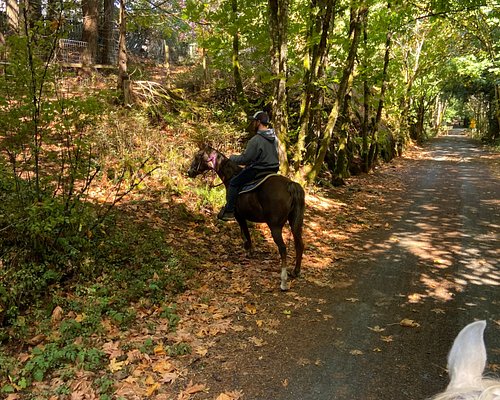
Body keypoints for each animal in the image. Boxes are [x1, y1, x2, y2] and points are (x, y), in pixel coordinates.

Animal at [188, 145, 304, 290]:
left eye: (197, 156)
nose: (189, 172)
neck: (231, 176)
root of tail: (291, 185)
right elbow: (246, 234)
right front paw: (250, 251)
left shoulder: (239, 216)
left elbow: (245, 234)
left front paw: (248, 250)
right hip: (295, 224)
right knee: (299, 244)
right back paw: (296, 271)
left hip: (275, 226)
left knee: (283, 248)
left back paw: (283, 281)